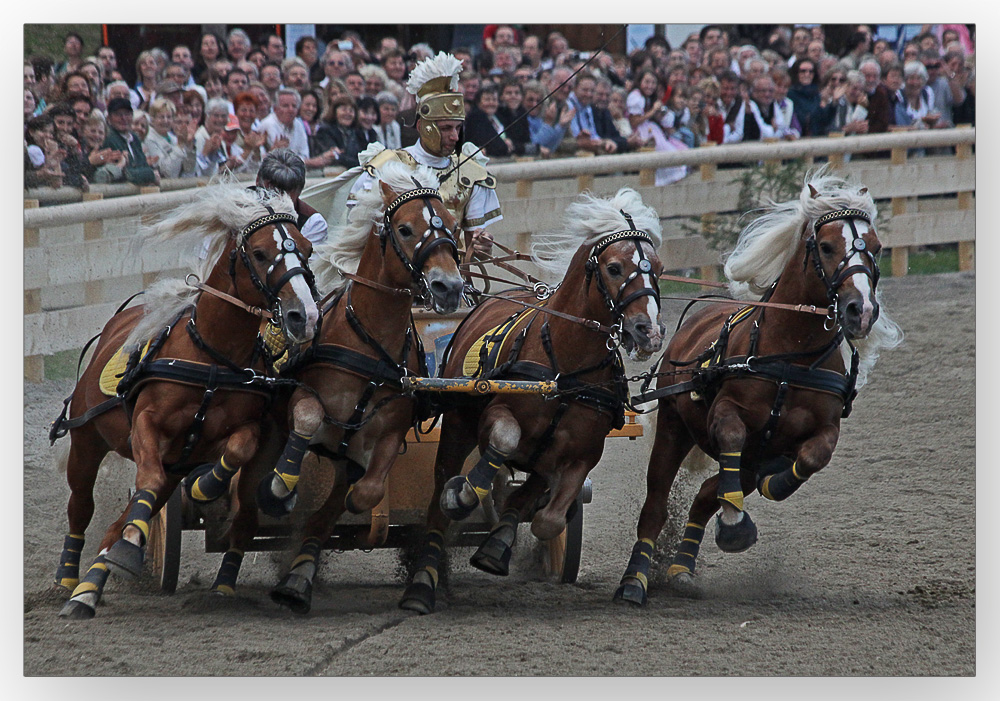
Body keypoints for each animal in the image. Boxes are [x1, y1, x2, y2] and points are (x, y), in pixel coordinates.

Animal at [50, 183, 318, 616]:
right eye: (261, 253)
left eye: (308, 249)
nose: (304, 316)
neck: (211, 357)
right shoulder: (146, 425)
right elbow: (145, 480)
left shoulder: (239, 429)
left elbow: (238, 450)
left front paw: (206, 487)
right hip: (86, 438)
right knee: (82, 506)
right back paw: (69, 581)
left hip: (172, 461)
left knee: (131, 510)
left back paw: (94, 581)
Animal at [204, 157, 468, 608]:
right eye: (405, 229)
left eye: (450, 223)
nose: (448, 286)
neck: (367, 343)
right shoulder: (303, 400)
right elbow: (309, 419)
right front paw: (280, 490)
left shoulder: (386, 434)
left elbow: (366, 491)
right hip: (266, 440)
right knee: (246, 510)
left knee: (322, 511)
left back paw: (297, 579)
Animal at [396, 186, 664, 612]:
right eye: (614, 268)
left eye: (658, 267)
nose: (648, 331)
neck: (563, 369)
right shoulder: (496, 413)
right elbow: (504, 441)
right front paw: (466, 493)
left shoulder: (584, 452)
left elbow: (547, 518)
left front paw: (500, 543)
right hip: (457, 426)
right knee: (440, 498)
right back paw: (425, 577)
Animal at [612, 167, 904, 604]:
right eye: (826, 245)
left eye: (876, 247)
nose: (862, 310)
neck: (788, 356)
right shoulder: (724, 415)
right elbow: (732, 433)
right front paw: (735, 524)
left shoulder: (824, 428)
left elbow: (813, 457)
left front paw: (775, 478)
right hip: (674, 428)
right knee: (657, 505)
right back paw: (636, 580)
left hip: (741, 461)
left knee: (706, 497)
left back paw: (681, 568)